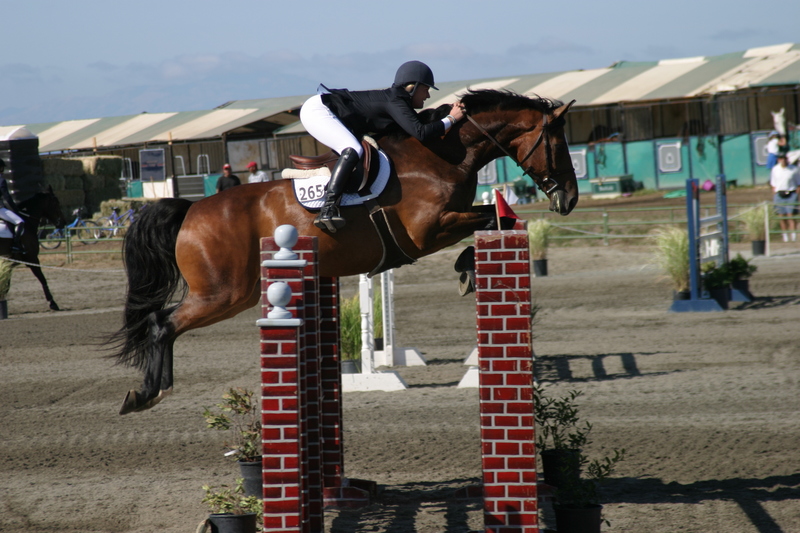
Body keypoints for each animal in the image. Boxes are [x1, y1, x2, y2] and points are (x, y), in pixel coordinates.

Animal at [112, 89, 580, 415]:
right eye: (559, 145)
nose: (570, 199)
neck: (442, 155)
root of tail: (192, 209)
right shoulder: (429, 231)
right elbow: (492, 219)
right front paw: (467, 270)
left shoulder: (448, 222)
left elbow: (499, 217)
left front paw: (469, 271)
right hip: (224, 293)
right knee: (163, 324)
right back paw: (147, 394)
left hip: (233, 294)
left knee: (161, 322)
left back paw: (152, 391)